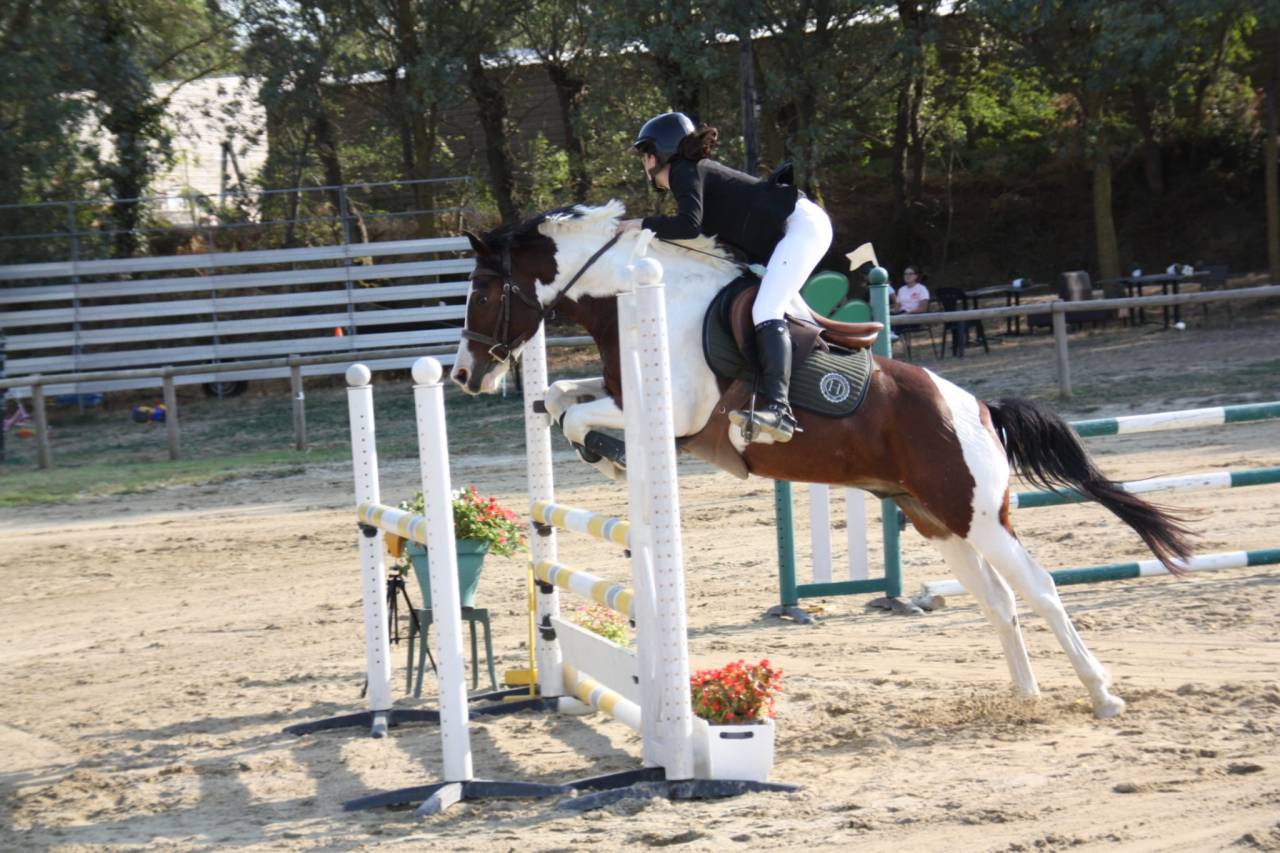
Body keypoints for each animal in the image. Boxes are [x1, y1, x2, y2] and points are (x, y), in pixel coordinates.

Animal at [451, 201, 1193, 719]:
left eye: (481, 293)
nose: (463, 374)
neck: (641, 292)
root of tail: (981, 410)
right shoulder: (624, 394)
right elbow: (559, 398)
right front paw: (600, 451)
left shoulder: (676, 413)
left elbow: (577, 413)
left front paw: (607, 454)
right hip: (938, 520)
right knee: (1000, 599)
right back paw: (1027, 693)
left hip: (980, 516)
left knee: (1039, 588)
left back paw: (1102, 694)